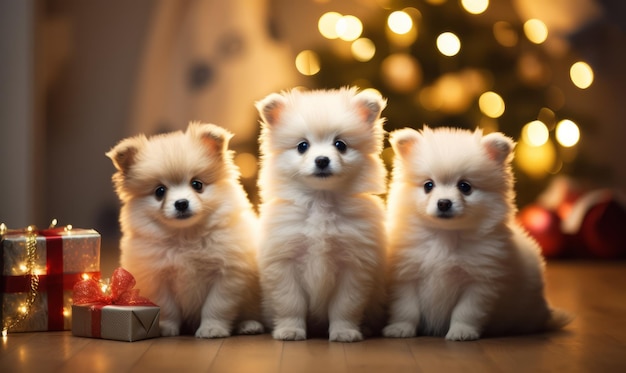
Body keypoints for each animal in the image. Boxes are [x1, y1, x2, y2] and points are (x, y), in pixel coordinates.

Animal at [106, 121, 262, 338]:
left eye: (197, 184)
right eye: (159, 191)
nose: (181, 203)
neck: (186, 237)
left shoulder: (228, 275)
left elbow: (216, 306)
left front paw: (212, 329)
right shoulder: (157, 278)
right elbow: (167, 307)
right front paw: (165, 328)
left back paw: (249, 325)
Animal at [254, 86, 386, 340]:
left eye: (340, 144)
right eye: (302, 146)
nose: (322, 160)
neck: (320, 201)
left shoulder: (354, 265)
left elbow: (346, 305)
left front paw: (344, 332)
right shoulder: (284, 261)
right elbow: (290, 302)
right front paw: (290, 330)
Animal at [382, 125, 568, 340]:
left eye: (465, 186)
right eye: (428, 185)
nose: (444, 203)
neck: (446, 236)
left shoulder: (480, 281)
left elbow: (466, 311)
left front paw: (462, 332)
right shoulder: (405, 275)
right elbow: (406, 308)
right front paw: (400, 329)